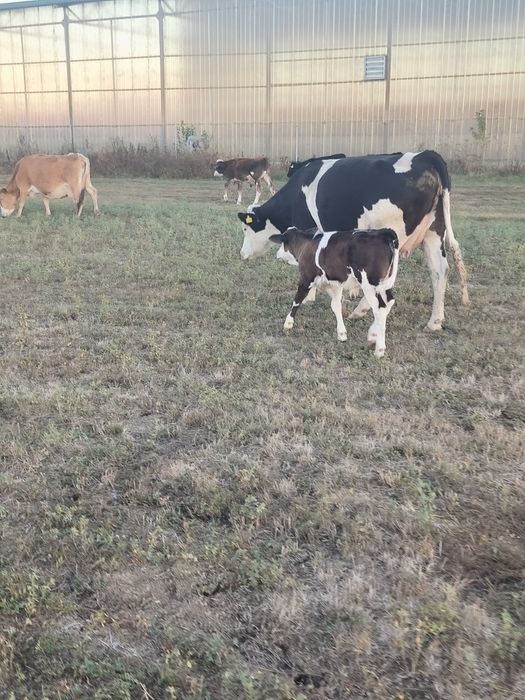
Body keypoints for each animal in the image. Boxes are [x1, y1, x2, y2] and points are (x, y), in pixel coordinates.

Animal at [237, 150, 469, 332]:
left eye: (245, 228)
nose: (242, 254)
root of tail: (426, 155)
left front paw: (311, 296)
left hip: (390, 238)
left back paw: (361, 311)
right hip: (433, 233)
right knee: (440, 271)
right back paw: (434, 322)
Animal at [269, 226, 399, 358]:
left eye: (282, 244)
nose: (277, 254)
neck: (307, 243)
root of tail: (383, 233)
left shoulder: (306, 278)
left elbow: (297, 300)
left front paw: (288, 323)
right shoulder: (335, 283)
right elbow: (336, 305)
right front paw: (341, 334)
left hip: (369, 285)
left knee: (380, 309)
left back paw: (379, 349)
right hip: (383, 285)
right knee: (390, 301)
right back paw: (372, 334)